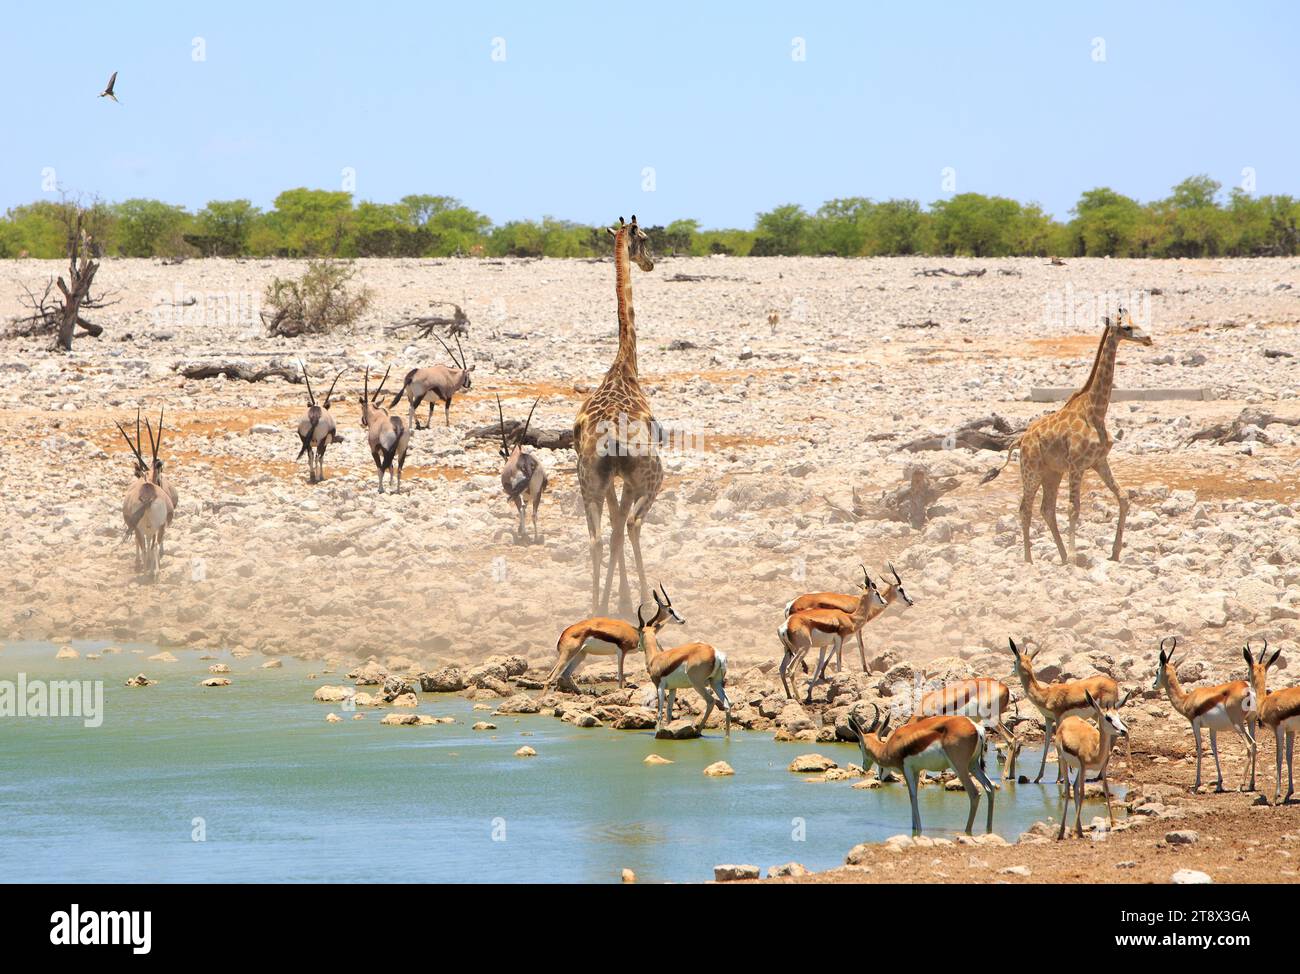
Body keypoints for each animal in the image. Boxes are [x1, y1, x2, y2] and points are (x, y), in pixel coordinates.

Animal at [977, 312, 1154, 561]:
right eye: (1127, 327)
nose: (1148, 339)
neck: (1096, 411)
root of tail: (1020, 440)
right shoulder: (1077, 465)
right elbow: (1073, 509)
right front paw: (1073, 558)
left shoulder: (1099, 461)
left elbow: (1123, 498)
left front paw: (1115, 552)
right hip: (1031, 470)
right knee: (1025, 509)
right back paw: (1030, 560)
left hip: (1052, 472)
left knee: (1046, 508)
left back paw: (1059, 556)